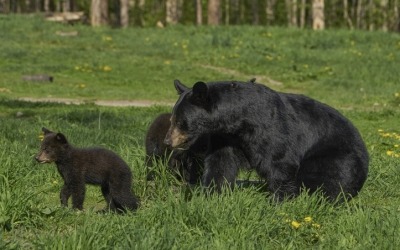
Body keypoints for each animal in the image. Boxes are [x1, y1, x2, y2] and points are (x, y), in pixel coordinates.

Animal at [165, 80, 368, 201]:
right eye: (172, 119)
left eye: (180, 121)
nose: (167, 141)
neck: (239, 121)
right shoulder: (225, 137)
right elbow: (220, 163)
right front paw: (210, 194)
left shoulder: (272, 129)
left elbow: (280, 161)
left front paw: (278, 201)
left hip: (337, 157)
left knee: (329, 178)